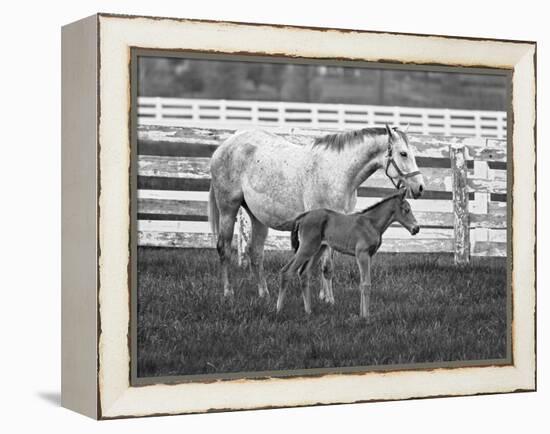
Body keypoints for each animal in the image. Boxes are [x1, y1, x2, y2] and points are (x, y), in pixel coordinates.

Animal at [209, 125, 424, 300]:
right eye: (403, 154)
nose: (420, 187)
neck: (338, 172)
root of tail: (225, 145)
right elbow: (326, 266)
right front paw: (329, 299)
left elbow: (327, 266)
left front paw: (324, 296)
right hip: (228, 209)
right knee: (224, 249)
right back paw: (228, 292)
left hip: (257, 217)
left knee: (256, 254)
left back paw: (265, 294)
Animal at [278, 190, 420, 318]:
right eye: (406, 210)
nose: (416, 228)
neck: (371, 224)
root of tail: (303, 216)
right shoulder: (362, 254)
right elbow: (366, 284)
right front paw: (366, 317)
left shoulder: (369, 255)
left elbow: (362, 283)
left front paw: (362, 314)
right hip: (307, 248)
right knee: (286, 271)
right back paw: (279, 310)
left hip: (318, 249)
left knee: (304, 273)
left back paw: (308, 311)